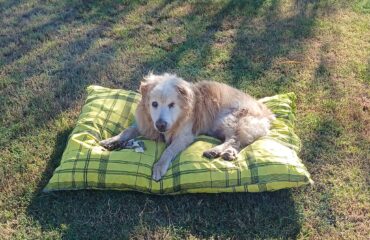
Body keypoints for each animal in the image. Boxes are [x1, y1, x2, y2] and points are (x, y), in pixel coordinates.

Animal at [99, 72, 274, 181]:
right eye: (154, 104)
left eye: (172, 105)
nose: (161, 125)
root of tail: (267, 113)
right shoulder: (146, 126)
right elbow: (128, 129)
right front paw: (112, 140)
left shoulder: (184, 136)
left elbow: (168, 150)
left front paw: (159, 166)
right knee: (239, 142)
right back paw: (228, 153)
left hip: (227, 119)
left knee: (233, 139)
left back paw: (215, 150)